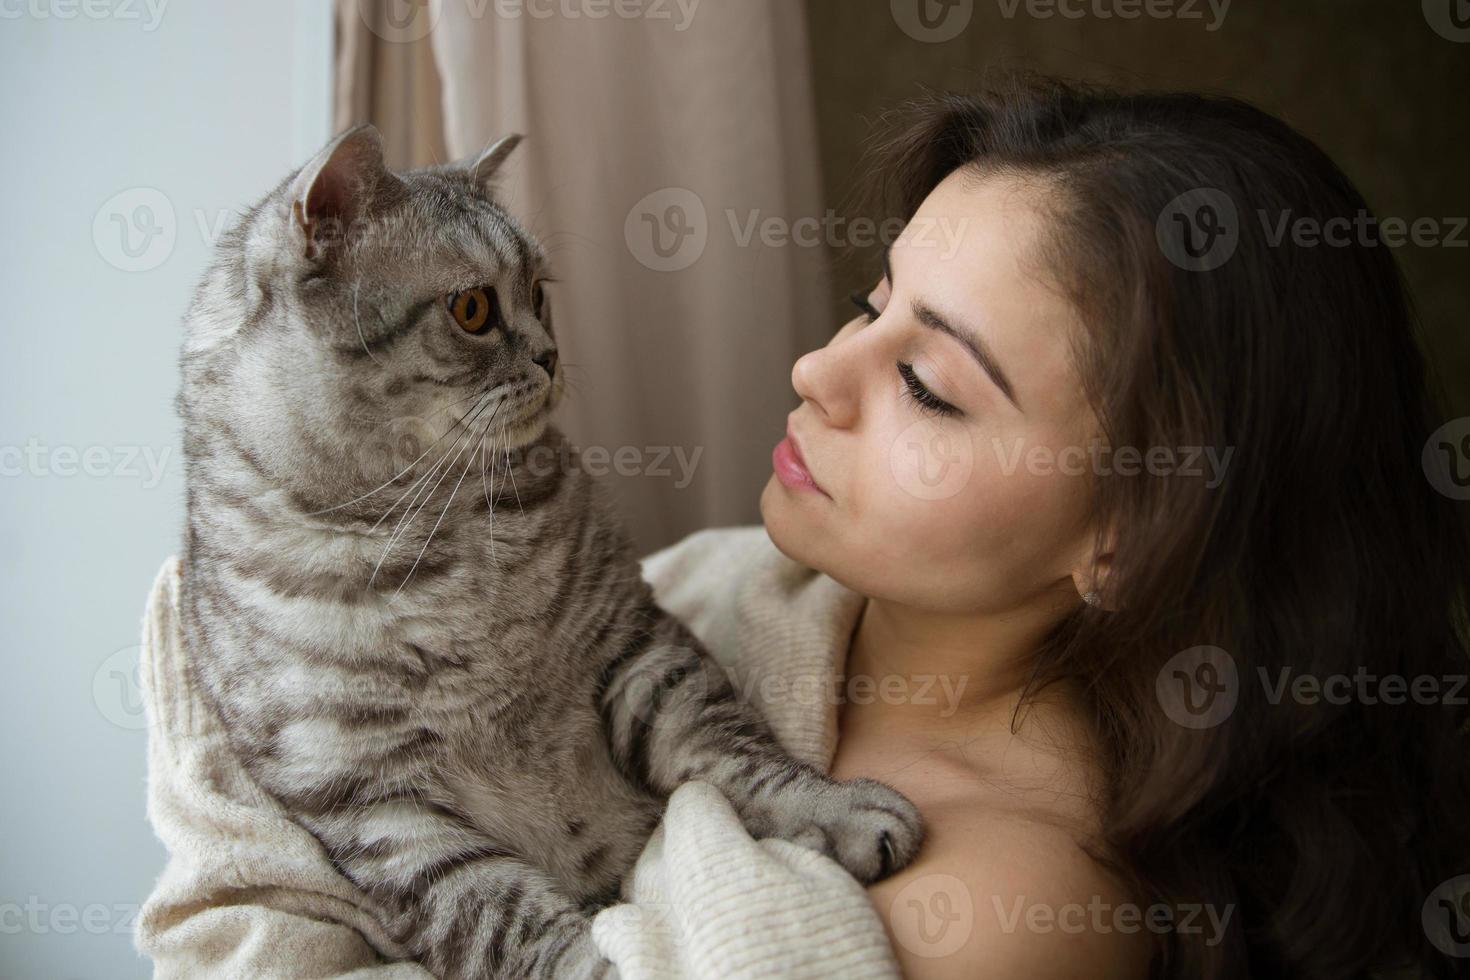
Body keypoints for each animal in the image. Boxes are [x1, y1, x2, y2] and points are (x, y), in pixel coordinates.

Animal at [177, 126, 923, 975]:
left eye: (538, 293)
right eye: (472, 308)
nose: (550, 354)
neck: (434, 540)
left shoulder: (633, 646)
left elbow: (736, 756)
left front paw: (835, 808)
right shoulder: (376, 803)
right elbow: (503, 915)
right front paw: (594, 962)